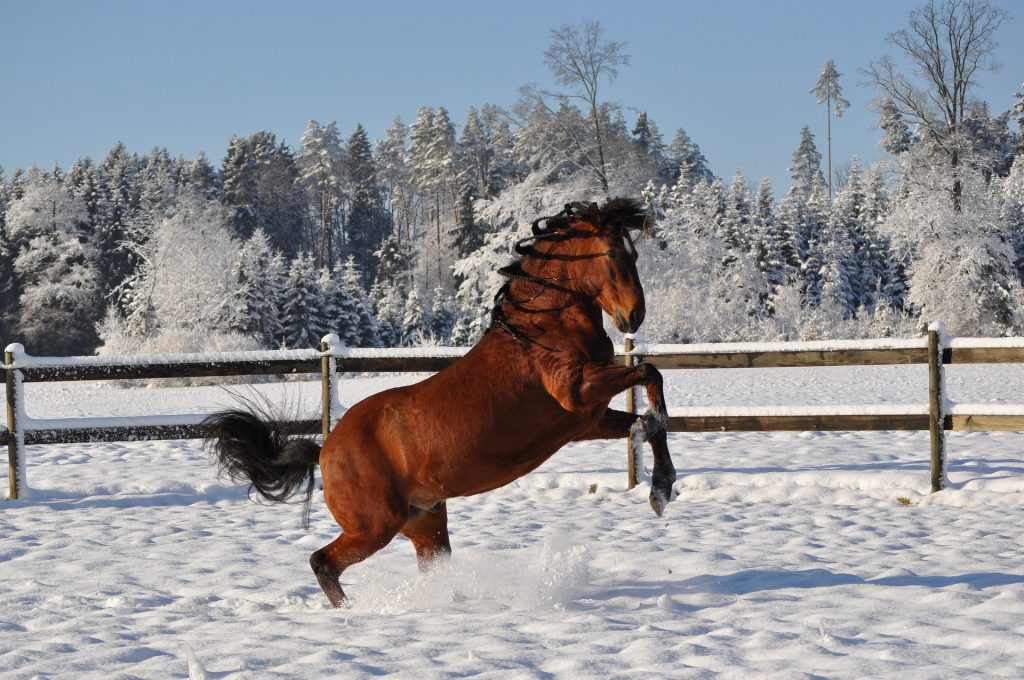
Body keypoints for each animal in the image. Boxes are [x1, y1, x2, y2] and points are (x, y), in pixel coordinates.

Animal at [204, 197, 677, 608]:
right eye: (613, 253)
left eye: (634, 254)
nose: (633, 316)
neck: (542, 329)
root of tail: (325, 451)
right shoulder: (576, 391)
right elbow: (650, 375)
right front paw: (660, 479)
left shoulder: (586, 420)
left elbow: (648, 423)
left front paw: (661, 488)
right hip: (375, 526)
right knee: (322, 563)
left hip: (424, 522)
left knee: (424, 565)